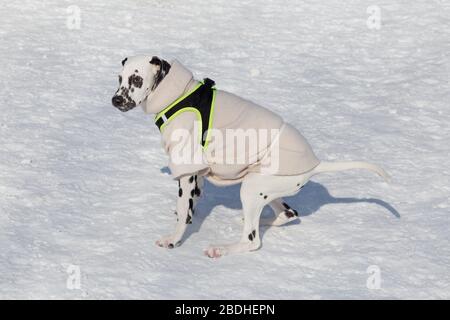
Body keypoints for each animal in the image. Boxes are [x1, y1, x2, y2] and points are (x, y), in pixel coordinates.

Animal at [110, 56, 388, 258]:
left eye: (136, 79)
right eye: (120, 78)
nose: (116, 100)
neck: (178, 95)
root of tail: (315, 164)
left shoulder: (187, 169)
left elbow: (183, 211)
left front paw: (174, 239)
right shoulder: (197, 173)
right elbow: (191, 203)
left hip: (252, 188)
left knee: (252, 240)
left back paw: (222, 248)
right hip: (266, 188)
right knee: (289, 214)